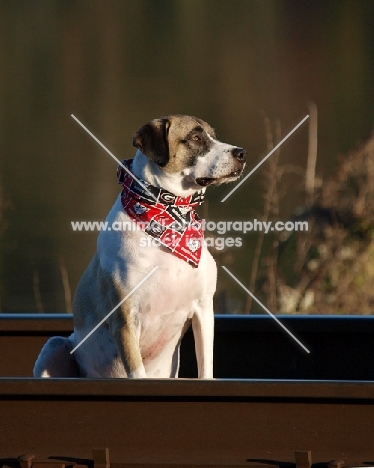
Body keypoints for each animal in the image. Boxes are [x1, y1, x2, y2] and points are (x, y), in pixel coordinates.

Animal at [33, 114, 247, 380]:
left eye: (213, 136)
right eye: (196, 137)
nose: (241, 153)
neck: (167, 216)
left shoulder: (204, 309)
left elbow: (206, 368)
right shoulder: (126, 320)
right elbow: (137, 373)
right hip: (55, 345)